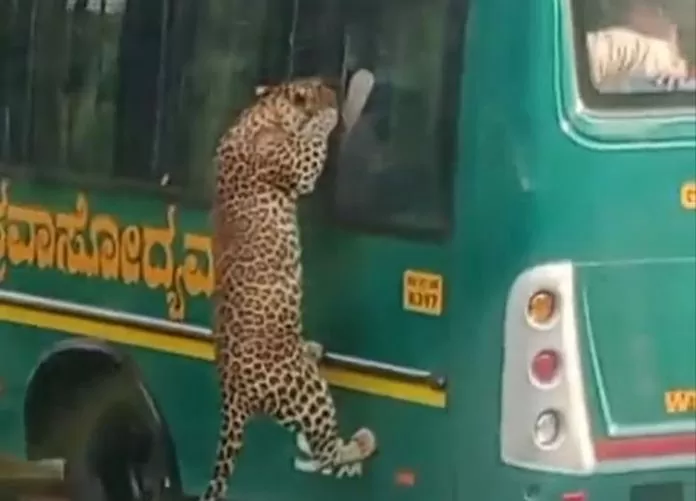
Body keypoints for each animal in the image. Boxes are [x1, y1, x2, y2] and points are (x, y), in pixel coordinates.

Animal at [198, 75, 378, 500]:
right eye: (318, 85)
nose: (332, 86)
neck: (262, 111)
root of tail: (231, 396)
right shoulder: (297, 164)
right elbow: (312, 140)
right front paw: (330, 112)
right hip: (307, 392)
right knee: (326, 452)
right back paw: (362, 442)